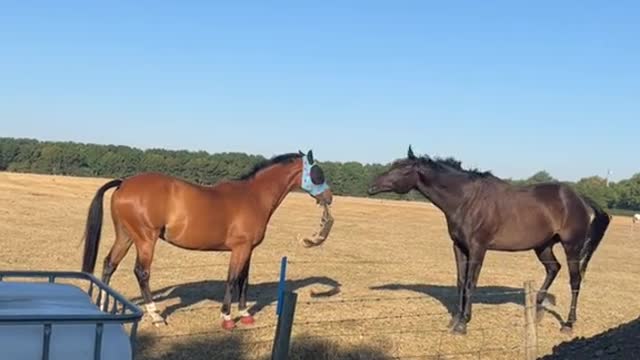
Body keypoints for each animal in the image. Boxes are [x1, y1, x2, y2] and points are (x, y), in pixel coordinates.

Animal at [82, 150, 332, 330]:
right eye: (318, 173)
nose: (329, 197)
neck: (254, 197)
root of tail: (124, 183)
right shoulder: (240, 249)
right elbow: (232, 280)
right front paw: (227, 318)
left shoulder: (248, 249)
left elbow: (244, 280)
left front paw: (245, 314)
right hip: (145, 239)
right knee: (141, 272)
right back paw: (155, 316)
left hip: (125, 236)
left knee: (109, 264)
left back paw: (103, 305)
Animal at [364, 146, 608, 334]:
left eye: (404, 169)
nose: (372, 186)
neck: (467, 200)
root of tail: (580, 199)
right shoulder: (459, 247)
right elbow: (460, 281)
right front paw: (455, 318)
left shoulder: (477, 248)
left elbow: (471, 283)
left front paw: (463, 324)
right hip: (543, 246)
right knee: (553, 268)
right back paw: (537, 310)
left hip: (572, 246)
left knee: (575, 280)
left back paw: (568, 324)